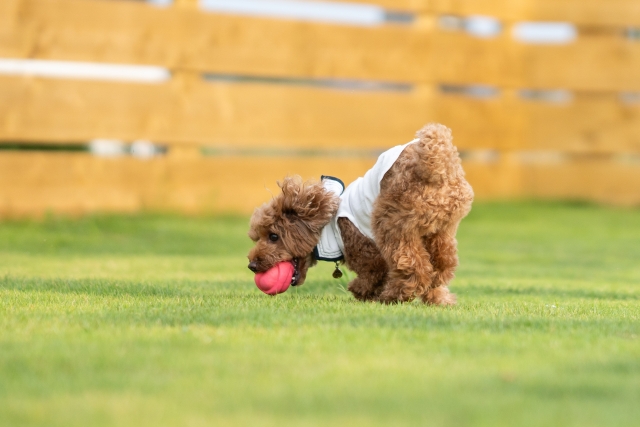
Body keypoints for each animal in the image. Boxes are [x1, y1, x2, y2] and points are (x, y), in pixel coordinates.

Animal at [248, 123, 472, 304]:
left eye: (273, 236)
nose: (251, 265)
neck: (327, 224)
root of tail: (436, 163)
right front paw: (440, 299)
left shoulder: (367, 251)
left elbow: (374, 273)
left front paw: (359, 289)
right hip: (442, 228)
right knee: (443, 263)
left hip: (391, 222)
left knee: (413, 266)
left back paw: (392, 296)